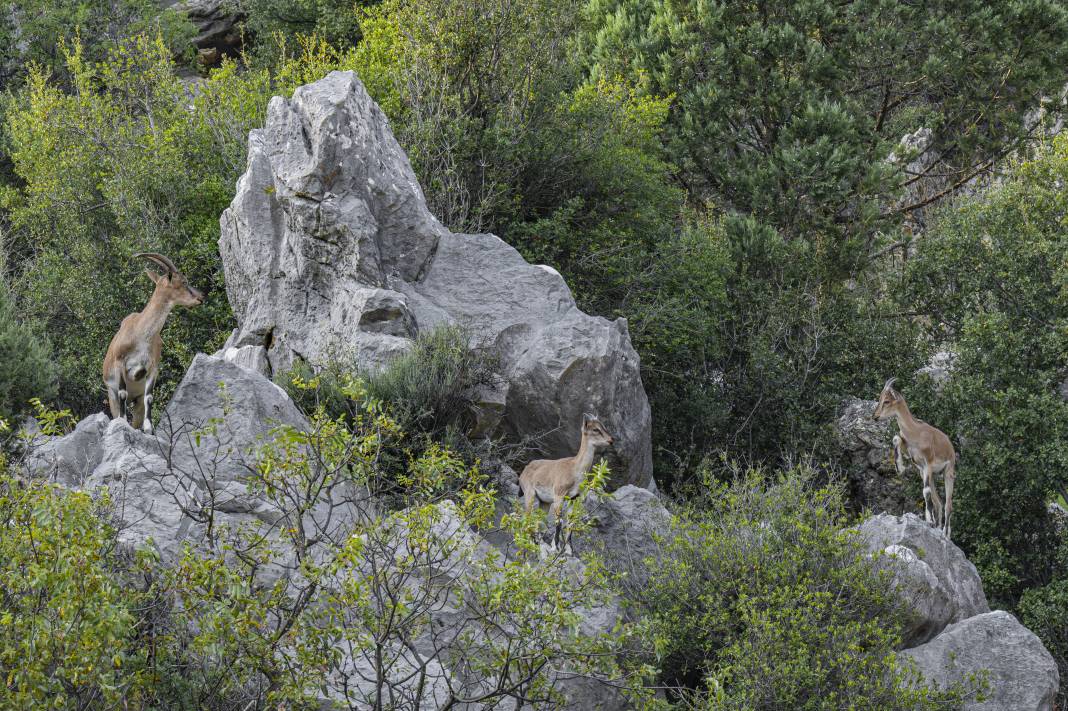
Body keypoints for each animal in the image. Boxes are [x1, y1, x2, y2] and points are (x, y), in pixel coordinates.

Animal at [104, 253, 203, 431]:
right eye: (183, 282)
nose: (200, 297)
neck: (141, 334)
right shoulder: (119, 362)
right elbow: (123, 393)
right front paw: (123, 421)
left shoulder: (152, 368)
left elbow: (149, 397)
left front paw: (149, 429)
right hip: (110, 394)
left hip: (137, 402)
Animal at [521, 409, 615, 555]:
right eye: (595, 429)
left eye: (603, 426)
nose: (611, 440)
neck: (574, 470)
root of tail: (524, 470)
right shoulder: (559, 495)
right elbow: (558, 521)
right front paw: (556, 547)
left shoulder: (574, 498)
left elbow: (570, 522)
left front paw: (569, 550)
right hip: (529, 494)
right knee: (528, 517)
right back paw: (530, 543)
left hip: (544, 502)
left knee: (538, 520)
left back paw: (540, 544)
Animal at [871, 375, 956, 538]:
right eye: (880, 399)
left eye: (887, 401)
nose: (875, 417)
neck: (916, 431)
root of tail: (951, 447)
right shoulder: (919, 464)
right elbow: (896, 438)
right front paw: (900, 467)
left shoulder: (928, 463)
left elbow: (925, 491)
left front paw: (929, 520)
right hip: (931, 475)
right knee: (938, 502)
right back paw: (937, 527)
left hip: (948, 473)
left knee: (948, 505)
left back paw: (945, 533)